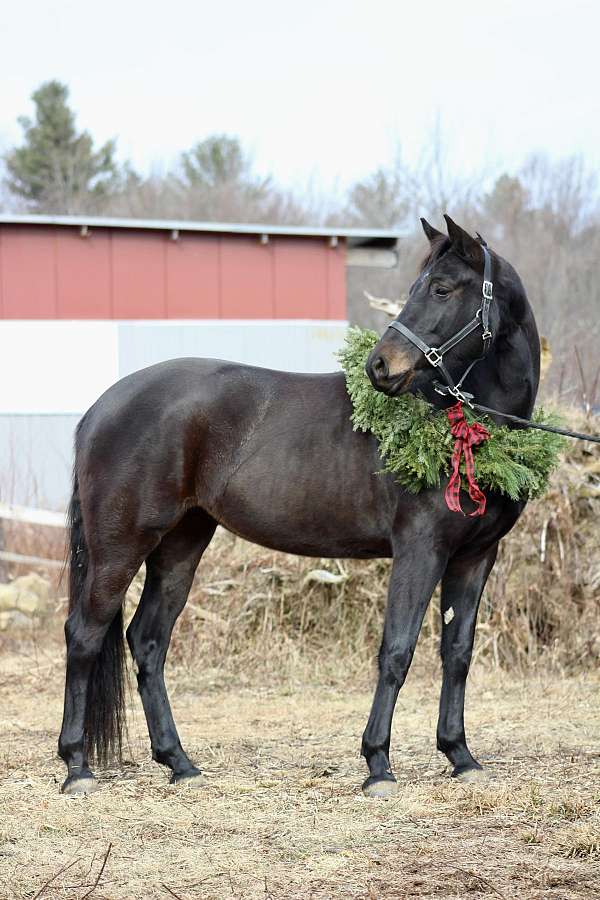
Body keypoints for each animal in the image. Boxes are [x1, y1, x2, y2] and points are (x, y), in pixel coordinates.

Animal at [59, 216, 540, 796]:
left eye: (442, 289)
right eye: (418, 288)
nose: (380, 367)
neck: (462, 426)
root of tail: (99, 408)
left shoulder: (474, 557)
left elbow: (457, 652)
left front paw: (461, 756)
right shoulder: (420, 550)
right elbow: (397, 650)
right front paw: (378, 765)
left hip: (181, 544)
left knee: (148, 640)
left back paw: (179, 762)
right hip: (121, 545)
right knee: (85, 634)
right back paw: (77, 767)